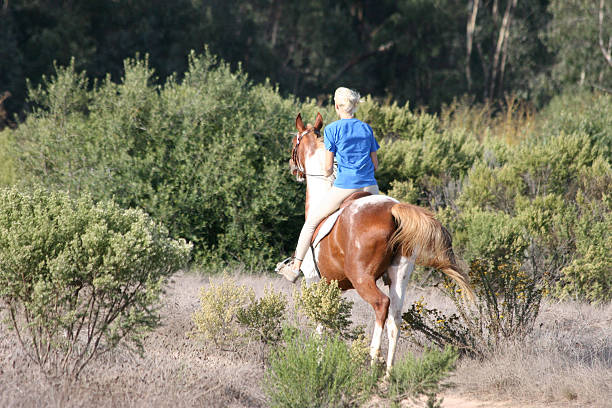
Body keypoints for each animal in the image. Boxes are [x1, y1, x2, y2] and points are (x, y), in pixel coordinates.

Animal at [288, 113, 474, 374]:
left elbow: (320, 323)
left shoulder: (315, 283)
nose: (292, 168)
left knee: (381, 305)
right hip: (399, 275)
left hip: (362, 278)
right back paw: (387, 373)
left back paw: (374, 355)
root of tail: (392, 210)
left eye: (294, 143)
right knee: (395, 317)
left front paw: (317, 362)